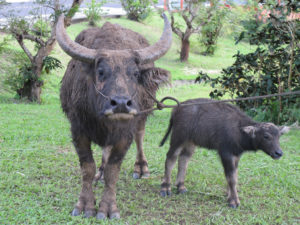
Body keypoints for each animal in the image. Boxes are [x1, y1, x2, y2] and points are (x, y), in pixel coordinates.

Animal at [55, 13, 171, 219]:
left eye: (135, 74)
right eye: (101, 72)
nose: (122, 104)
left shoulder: (125, 135)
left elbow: (113, 170)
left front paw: (108, 208)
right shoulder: (78, 131)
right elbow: (88, 168)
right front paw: (85, 205)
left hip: (144, 113)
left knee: (140, 135)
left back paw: (141, 168)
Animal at [161, 98, 290, 207]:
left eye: (279, 136)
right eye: (266, 136)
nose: (278, 153)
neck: (239, 131)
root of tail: (177, 109)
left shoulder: (236, 155)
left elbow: (234, 175)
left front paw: (229, 195)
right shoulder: (226, 153)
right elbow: (231, 178)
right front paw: (234, 201)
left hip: (190, 142)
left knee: (184, 159)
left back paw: (181, 186)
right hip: (178, 138)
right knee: (170, 158)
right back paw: (165, 188)